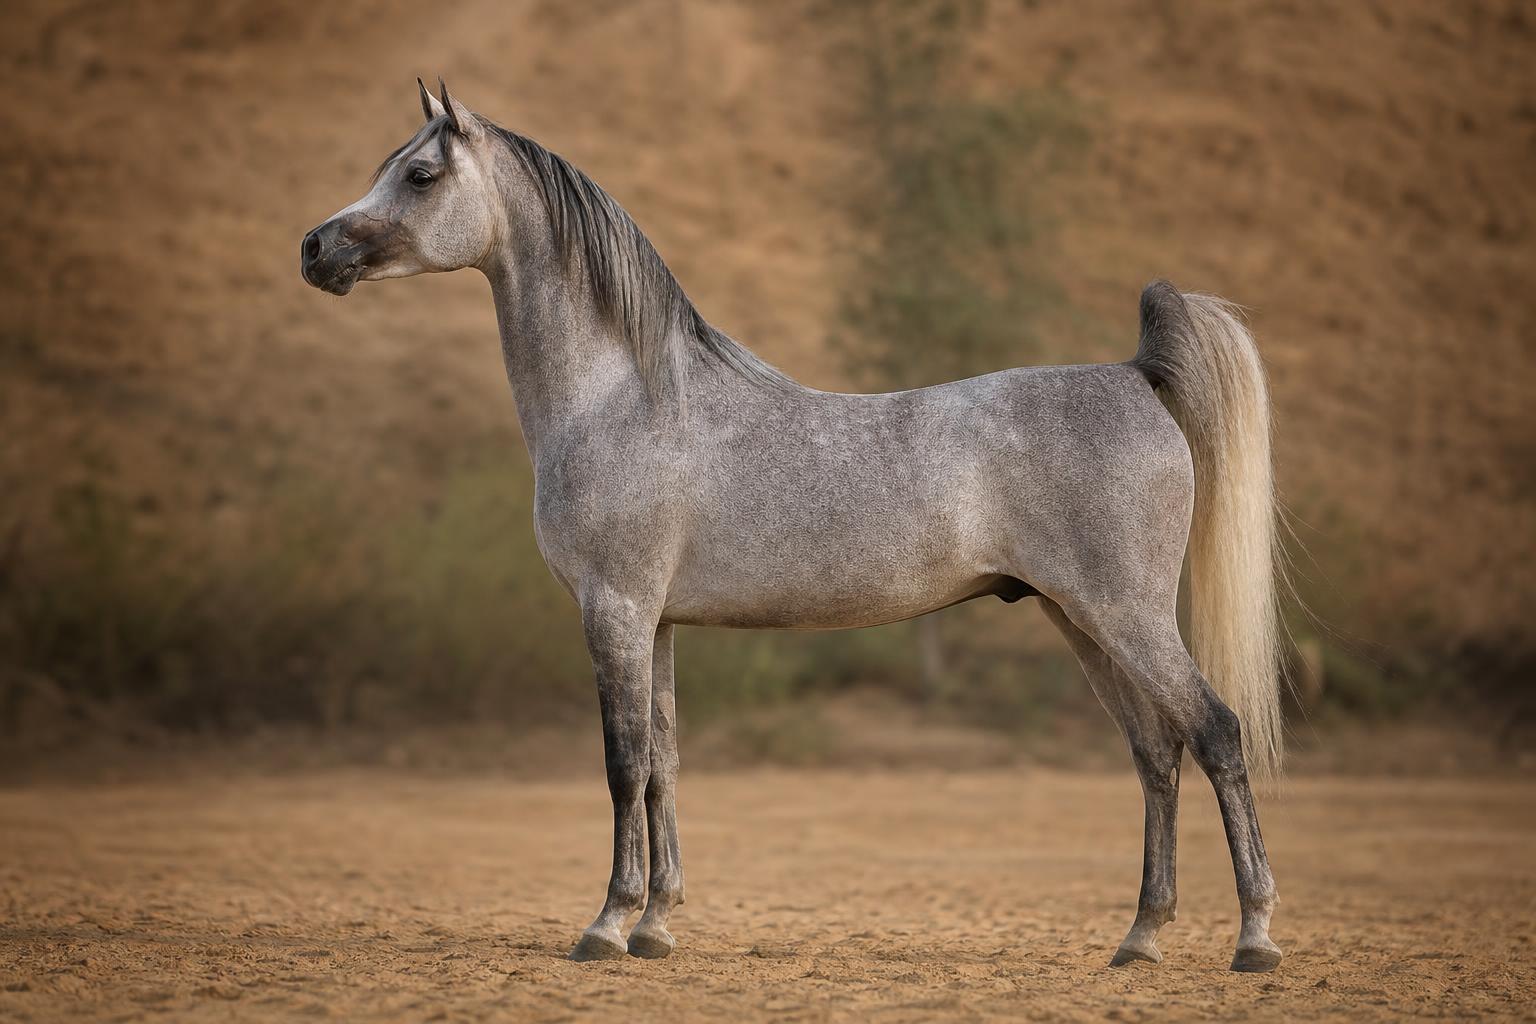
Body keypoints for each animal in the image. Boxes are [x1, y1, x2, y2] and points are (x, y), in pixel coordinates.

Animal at [301, 80, 1286, 973]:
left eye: (420, 174)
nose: (315, 249)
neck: (624, 397)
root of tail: (1134, 372)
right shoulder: (656, 622)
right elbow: (663, 763)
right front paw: (656, 927)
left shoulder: (614, 609)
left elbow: (622, 765)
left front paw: (607, 927)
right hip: (1078, 619)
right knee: (1156, 753)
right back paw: (1140, 940)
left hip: (1126, 614)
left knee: (1216, 733)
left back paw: (1254, 939)